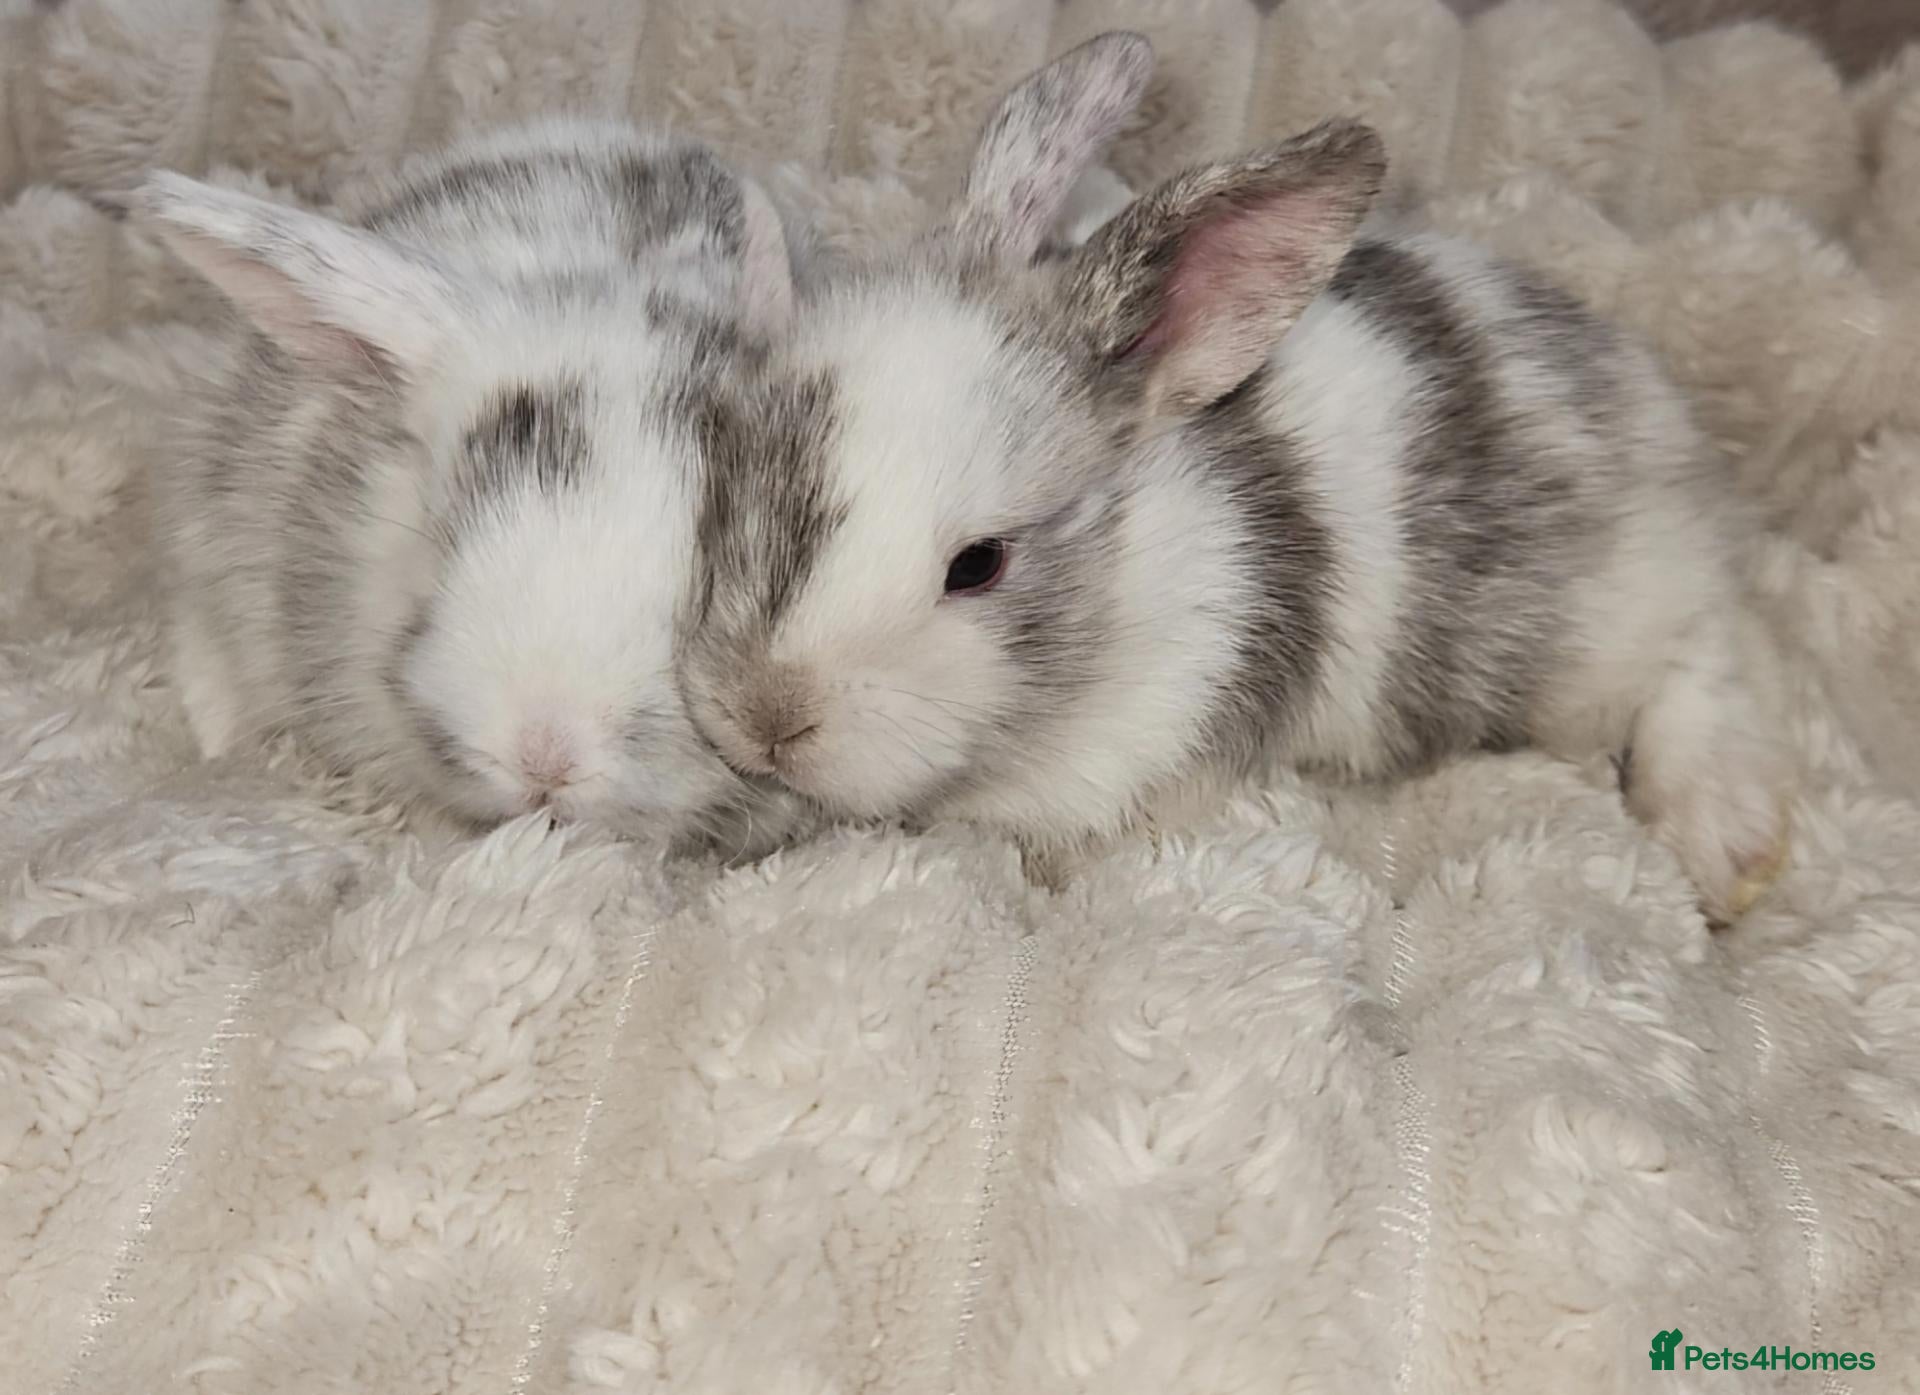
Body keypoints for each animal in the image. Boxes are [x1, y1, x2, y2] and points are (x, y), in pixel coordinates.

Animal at [676, 33, 1795, 923]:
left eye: (979, 565)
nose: (765, 717)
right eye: (741, 453)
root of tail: (1658, 414)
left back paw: (1729, 849)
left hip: (1605, 636)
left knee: (1703, 659)